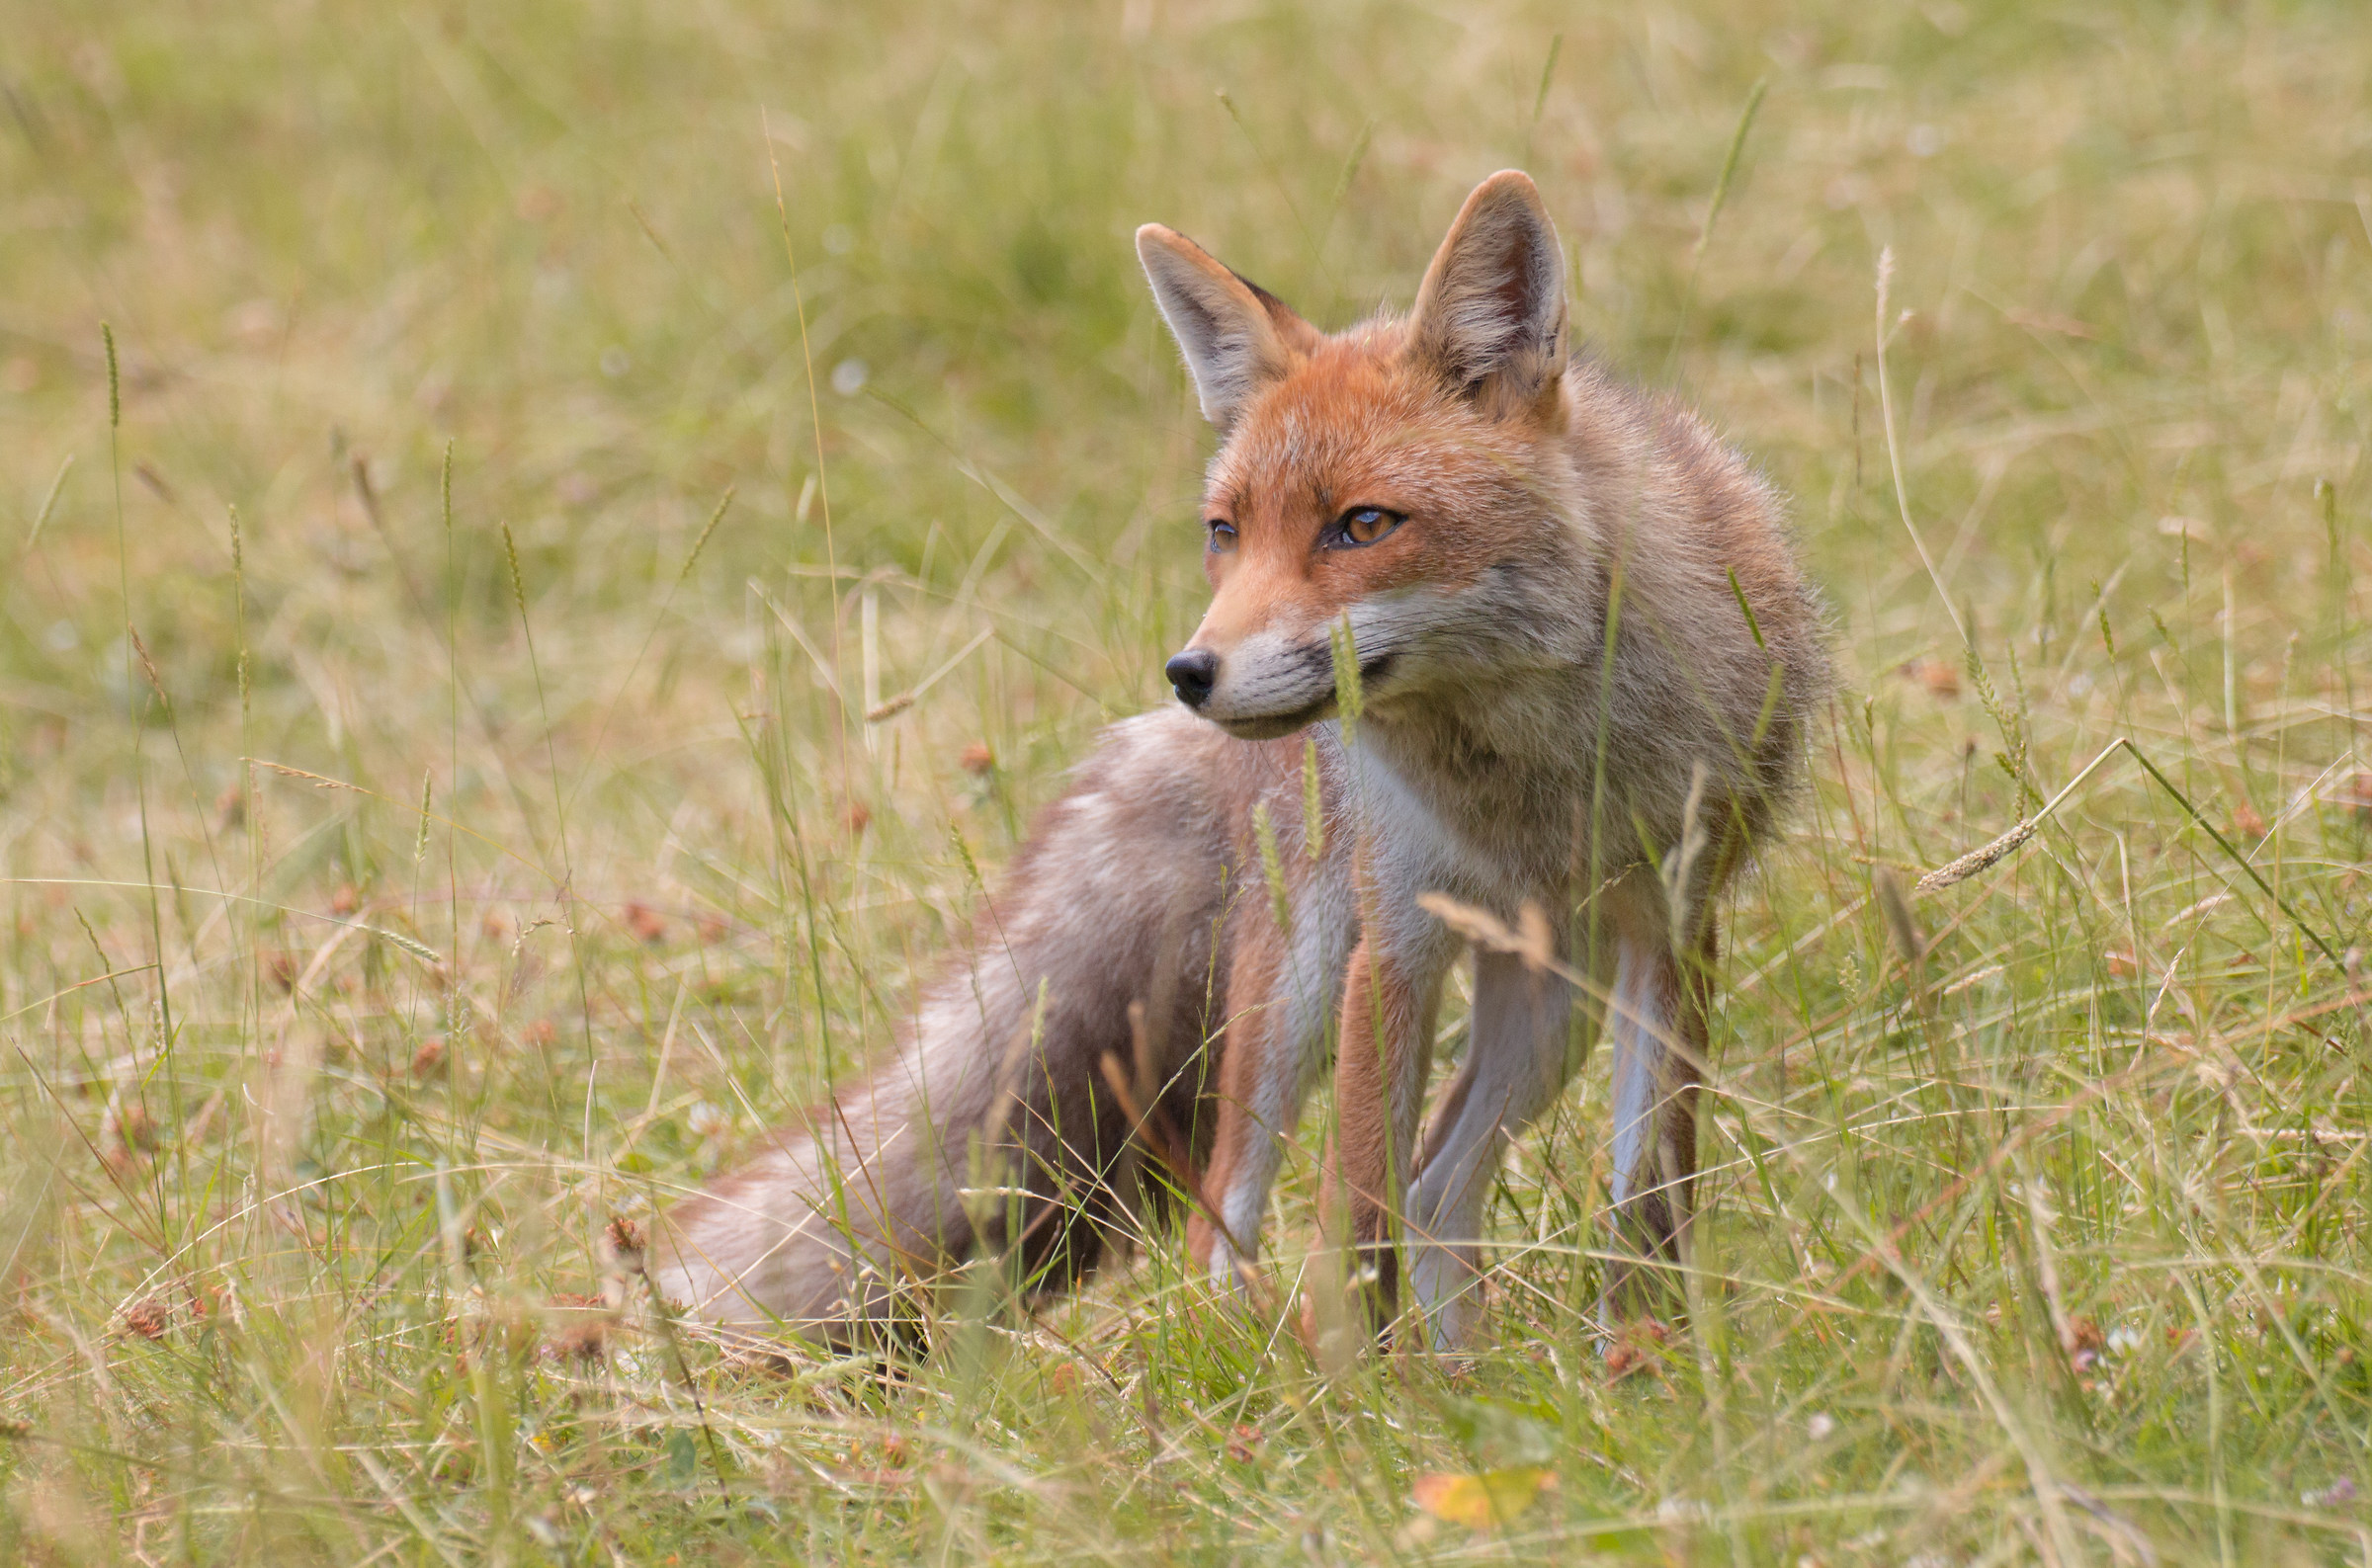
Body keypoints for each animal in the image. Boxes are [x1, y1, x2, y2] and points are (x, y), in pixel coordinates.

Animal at [651, 170, 1828, 1353]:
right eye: (1225, 530)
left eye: (1364, 525)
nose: (1191, 670)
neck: (1522, 784)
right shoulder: (1394, 936)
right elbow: (1356, 1217)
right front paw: (1366, 1389)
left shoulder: (1672, 922)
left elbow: (1649, 1193)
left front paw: (1643, 1360)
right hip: (1301, 974)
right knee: (1237, 1204)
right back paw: (1269, 1361)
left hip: (1550, 1002)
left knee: (1440, 1180)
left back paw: (1467, 1376)